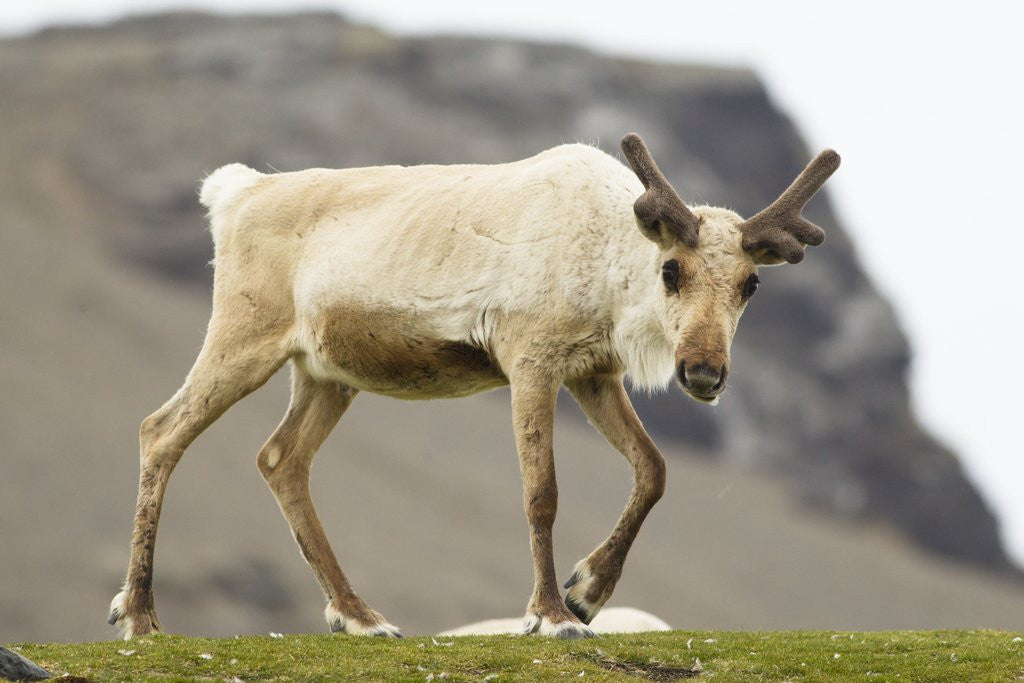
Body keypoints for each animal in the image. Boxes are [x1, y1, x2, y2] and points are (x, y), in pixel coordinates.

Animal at [108, 133, 839, 640]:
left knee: (280, 458)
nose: (704, 372)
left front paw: (587, 591)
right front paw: (551, 614)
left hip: (325, 372)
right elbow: (541, 492)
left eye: (751, 283)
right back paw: (139, 614)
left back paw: (360, 615)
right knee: (161, 429)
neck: (610, 256)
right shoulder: (532, 360)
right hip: (244, 333)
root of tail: (235, 193)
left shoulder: (593, 372)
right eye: (672, 269)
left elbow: (654, 469)